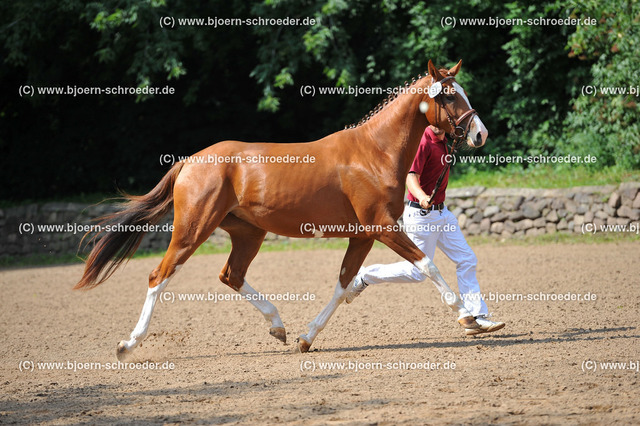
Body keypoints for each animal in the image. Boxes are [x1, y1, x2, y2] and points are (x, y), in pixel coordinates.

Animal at [76, 59, 484, 356]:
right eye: (449, 96)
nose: (480, 133)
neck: (373, 153)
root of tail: (189, 161)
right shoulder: (383, 227)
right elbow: (428, 264)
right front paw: (468, 318)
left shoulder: (363, 236)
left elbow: (343, 285)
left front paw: (307, 337)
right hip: (193, 229)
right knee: (159, 276)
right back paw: (128, 345)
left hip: (248, 233)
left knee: (230, 275)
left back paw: (278, 326)